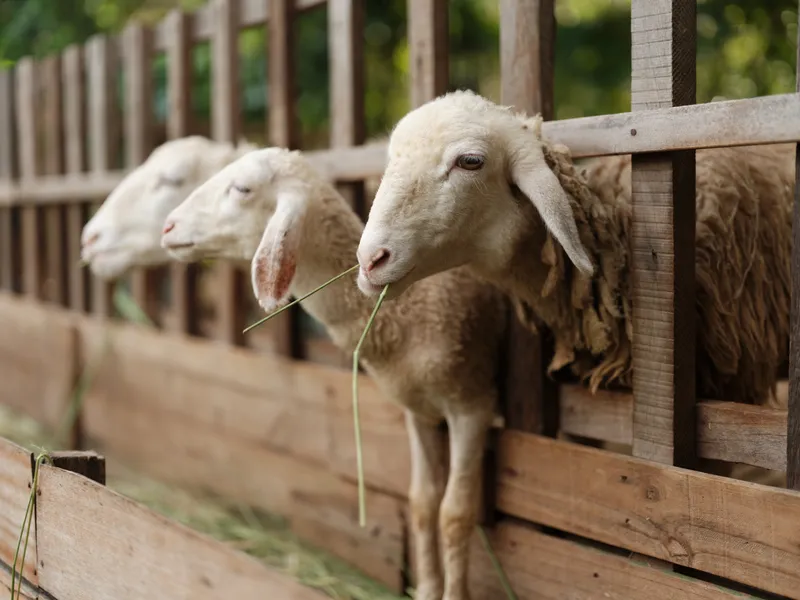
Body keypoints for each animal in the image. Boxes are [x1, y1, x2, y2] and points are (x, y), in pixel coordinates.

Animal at [160, 146, 508, 600]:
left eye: (243, 188)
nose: (168, 227)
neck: (409, 310)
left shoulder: (471, 405)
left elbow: (454, 512)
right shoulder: (418, 410)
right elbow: (421, 502)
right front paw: (429, 590)